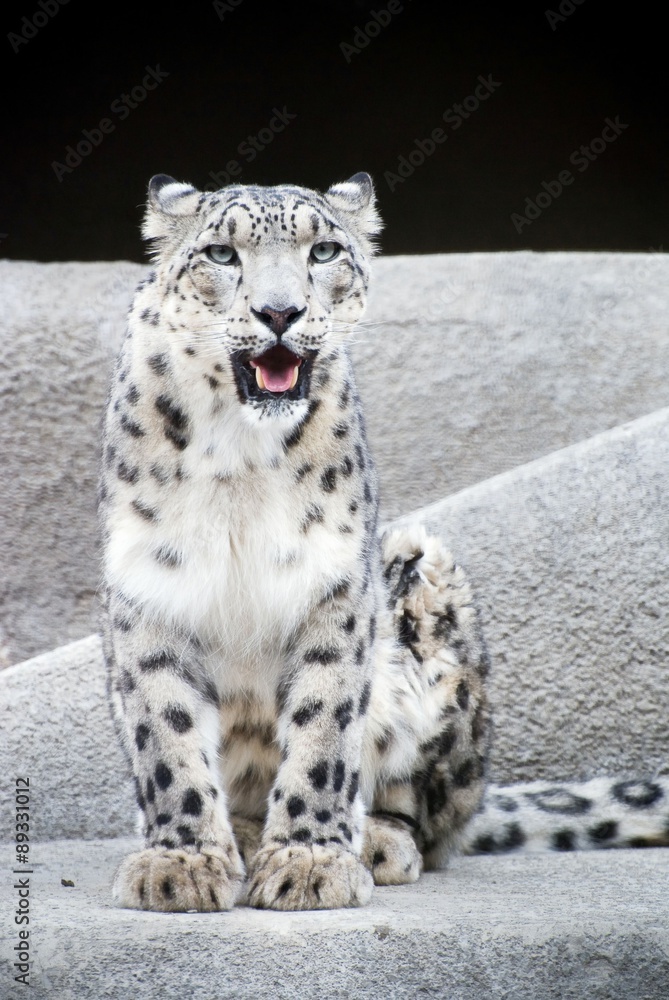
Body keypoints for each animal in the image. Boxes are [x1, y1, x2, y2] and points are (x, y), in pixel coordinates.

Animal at [99, 172, 667, 914]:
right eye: (222, 254)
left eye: (323, 251)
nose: (279, 312)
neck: (239, 457)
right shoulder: (151, 587)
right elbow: (167, 735)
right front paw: (181, 864)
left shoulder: (333, 586)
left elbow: (323, 725)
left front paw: (309, 862)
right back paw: (245, 836)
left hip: (425, 581)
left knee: (427, 819)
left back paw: (371, 839)